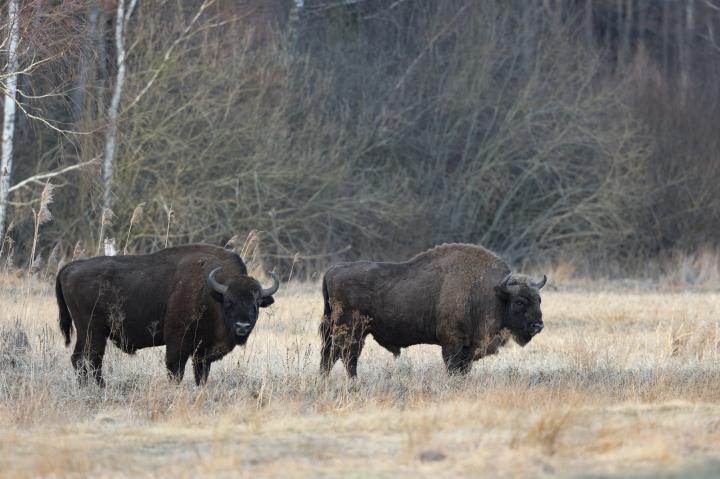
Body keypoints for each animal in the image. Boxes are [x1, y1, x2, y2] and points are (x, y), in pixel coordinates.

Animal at [56, 244, 279, 386]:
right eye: (229, 302)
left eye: (256, 304)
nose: (242, 326)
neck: (212, 294)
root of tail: (70, 267)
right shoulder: (178, 341)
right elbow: (175, 368)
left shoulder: (202, 351)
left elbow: (201, 373)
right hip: (93, 331)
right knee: (91, 359)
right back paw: (100, 387)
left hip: (88, 333)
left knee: (80, 359)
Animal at [319, 243, 546, 377]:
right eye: (519, 302)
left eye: (539, 299)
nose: (538, 325)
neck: (491, 292)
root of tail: (331, 271)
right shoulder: (452, 343)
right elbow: (453, 367)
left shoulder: (468, 347)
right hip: (352, 332)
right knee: (346, 357)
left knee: (330, 357)